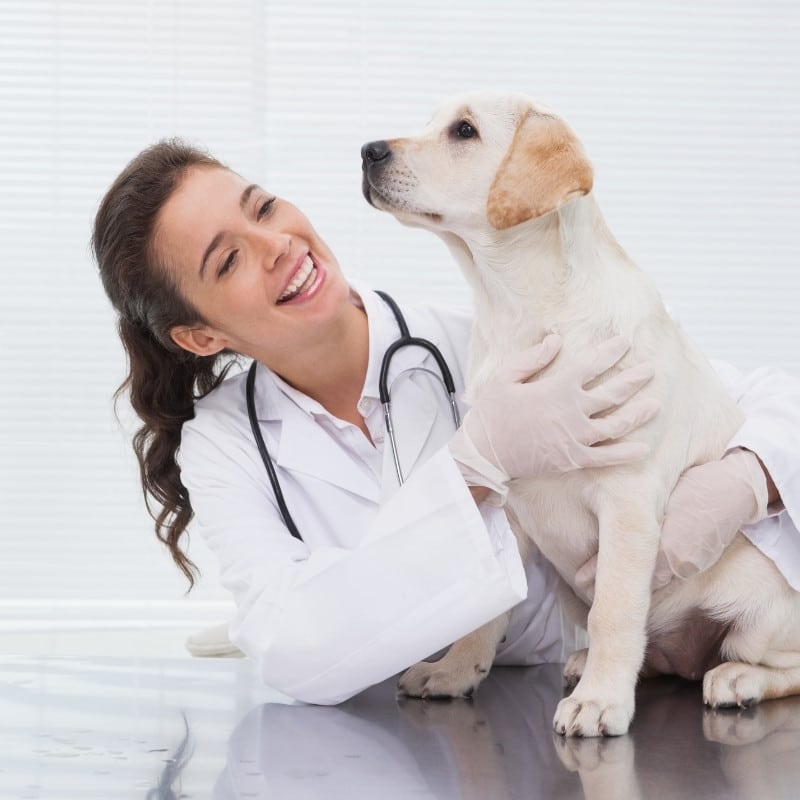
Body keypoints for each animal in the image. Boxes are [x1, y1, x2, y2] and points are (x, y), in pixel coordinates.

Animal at [360, 89, 800, 736]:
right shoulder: (505, 503)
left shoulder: (628, 500)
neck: (521, 312)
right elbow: (486, 612)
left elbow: (614, 609)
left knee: (777, 665)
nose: (368, 150)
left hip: (761, 610)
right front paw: (454, 671)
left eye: (463, 131)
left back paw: (734, 678)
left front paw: (600, 703)